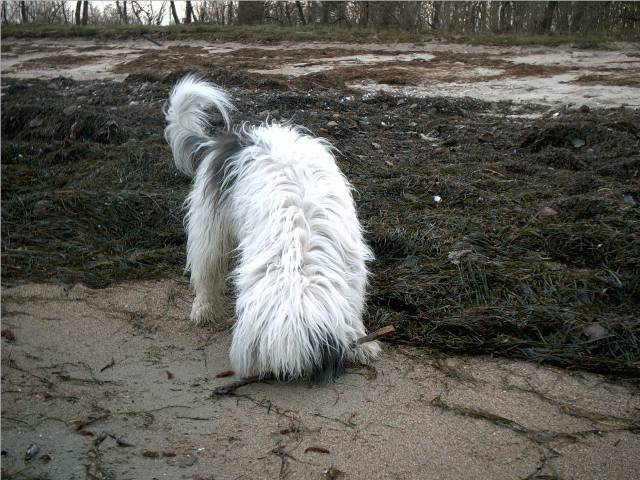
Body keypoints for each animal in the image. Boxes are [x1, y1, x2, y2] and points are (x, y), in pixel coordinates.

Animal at [162, 75, 380, 380]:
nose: (276, 376)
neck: (299, 252)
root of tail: (234, 139)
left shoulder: (353, 268)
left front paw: (362, 341)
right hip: (211, 226)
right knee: (207, 268)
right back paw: (204, 308)